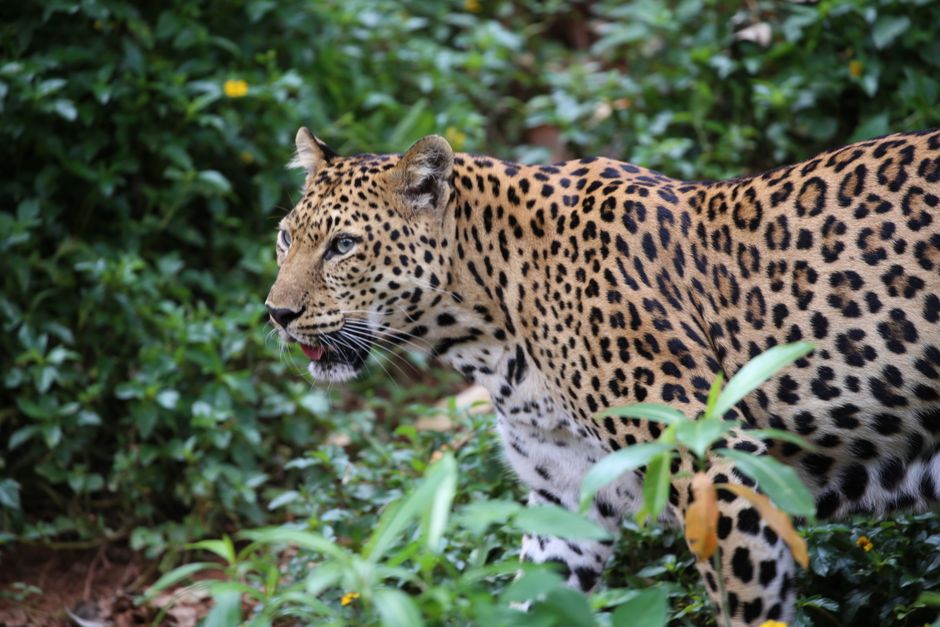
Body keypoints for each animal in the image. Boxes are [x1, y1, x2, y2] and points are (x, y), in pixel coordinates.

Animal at [265, 126, 940, 625]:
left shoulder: (722, 471)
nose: (277, 313)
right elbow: (532, 595)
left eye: (344, 245)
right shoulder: (564, 497)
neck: (488, 329)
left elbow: (749, 605)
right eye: (285, 238)